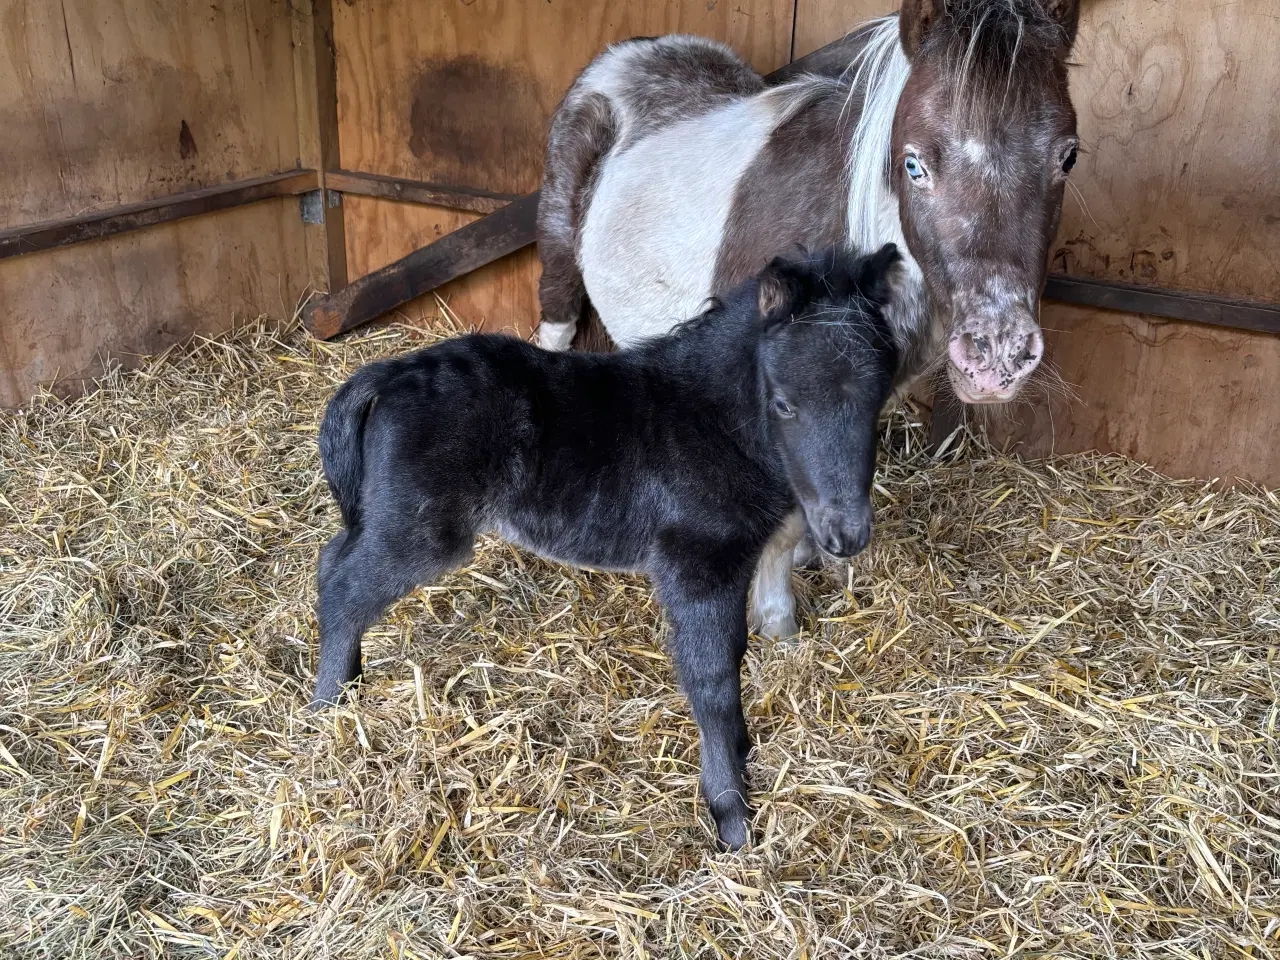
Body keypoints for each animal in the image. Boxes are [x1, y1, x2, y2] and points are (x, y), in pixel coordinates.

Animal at [529, 0, 1080, 642]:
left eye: (1067, 156)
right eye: (913, 163)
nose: (995, 356)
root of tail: (628, 52)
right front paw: (778, 625)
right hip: (559, 260)